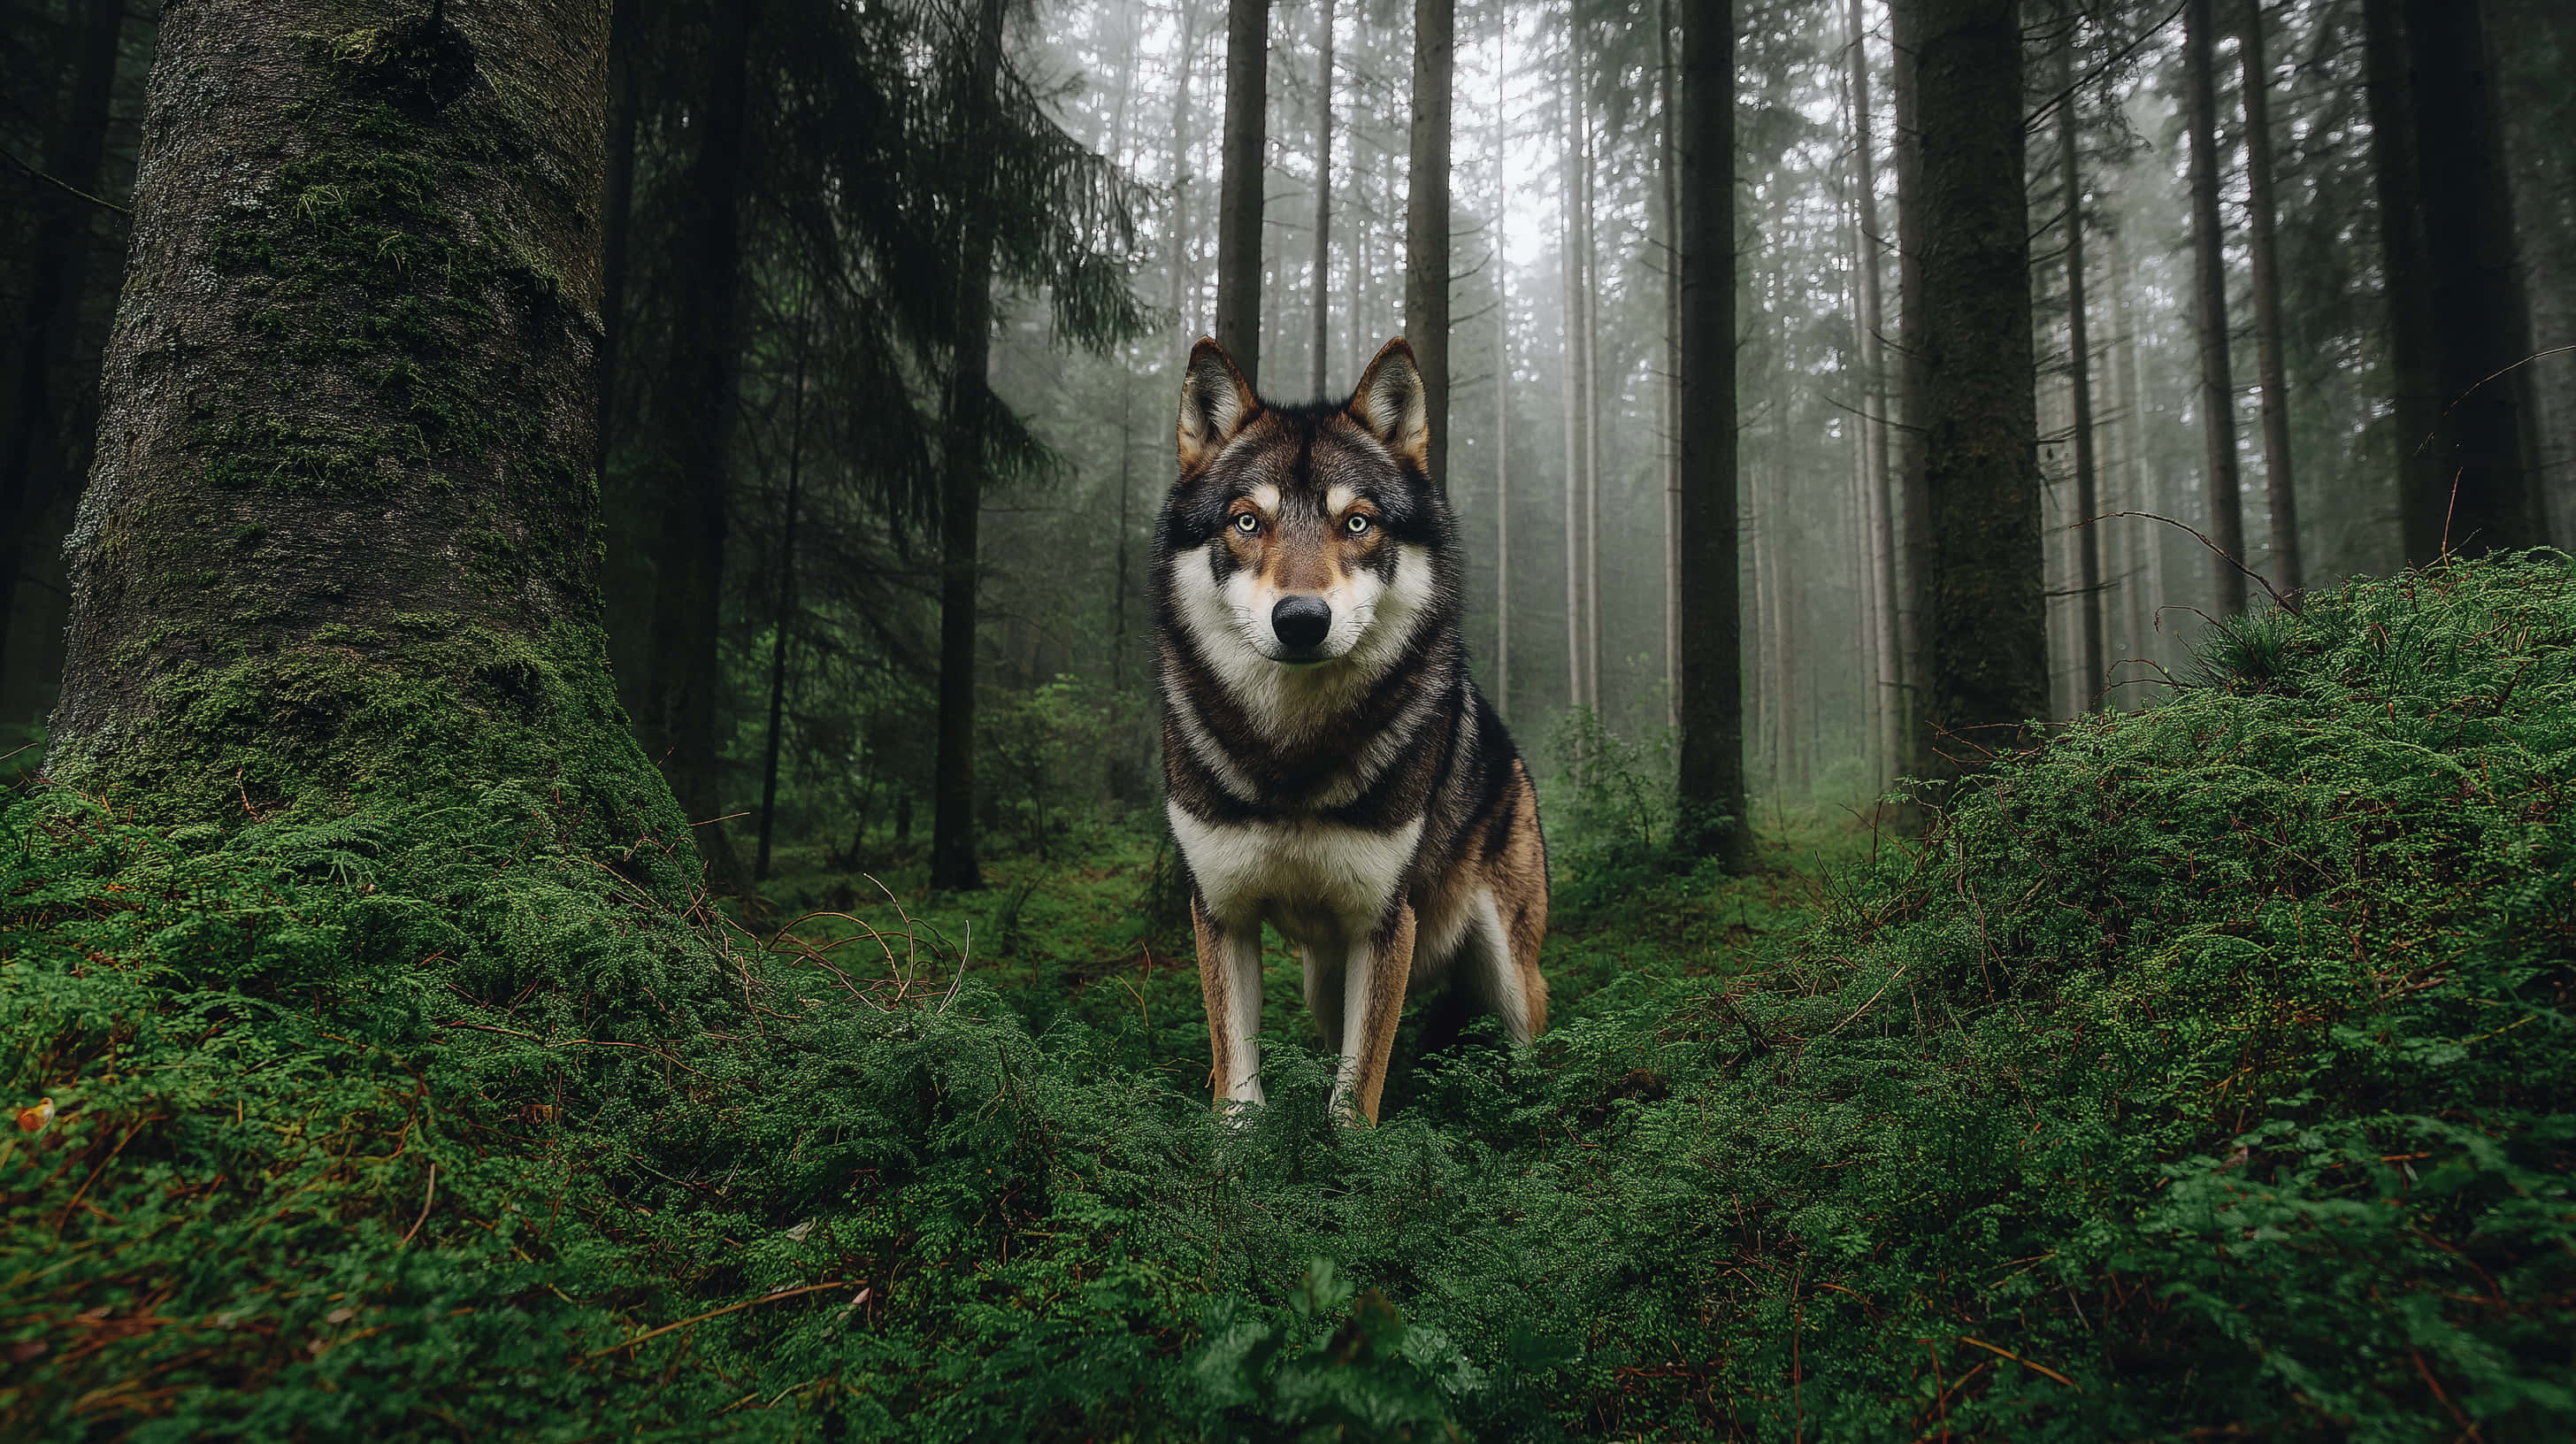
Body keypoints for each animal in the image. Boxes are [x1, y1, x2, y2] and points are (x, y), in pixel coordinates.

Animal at [1154, 335, 1549, 1124]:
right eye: (1248, 522)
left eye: (1357, 523)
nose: (1302, 620)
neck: (1291, 757)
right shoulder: (1221, 915)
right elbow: (1238, 1082)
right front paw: (1237, 1147)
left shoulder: (1384, 924)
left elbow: (1355, 1099)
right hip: (1323, 984)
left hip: (1508, 974)